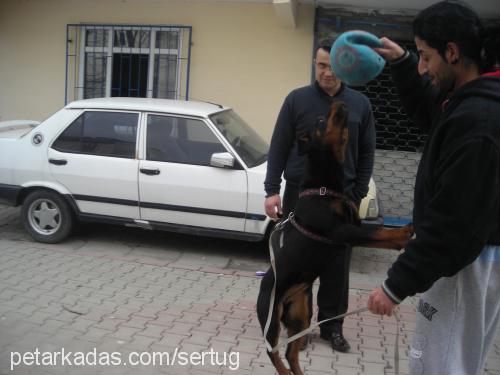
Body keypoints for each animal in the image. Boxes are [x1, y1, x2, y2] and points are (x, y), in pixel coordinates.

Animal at [256, 101, 412, 374]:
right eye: (320, 120)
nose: (340, 102)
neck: (325, 187)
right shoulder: (341, 230)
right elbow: (377, 233)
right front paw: (403, 234)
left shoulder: (352, 224)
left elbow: (375, 232)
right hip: (271, 317)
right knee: (273, 352)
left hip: (301, 314)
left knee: (290, 352)